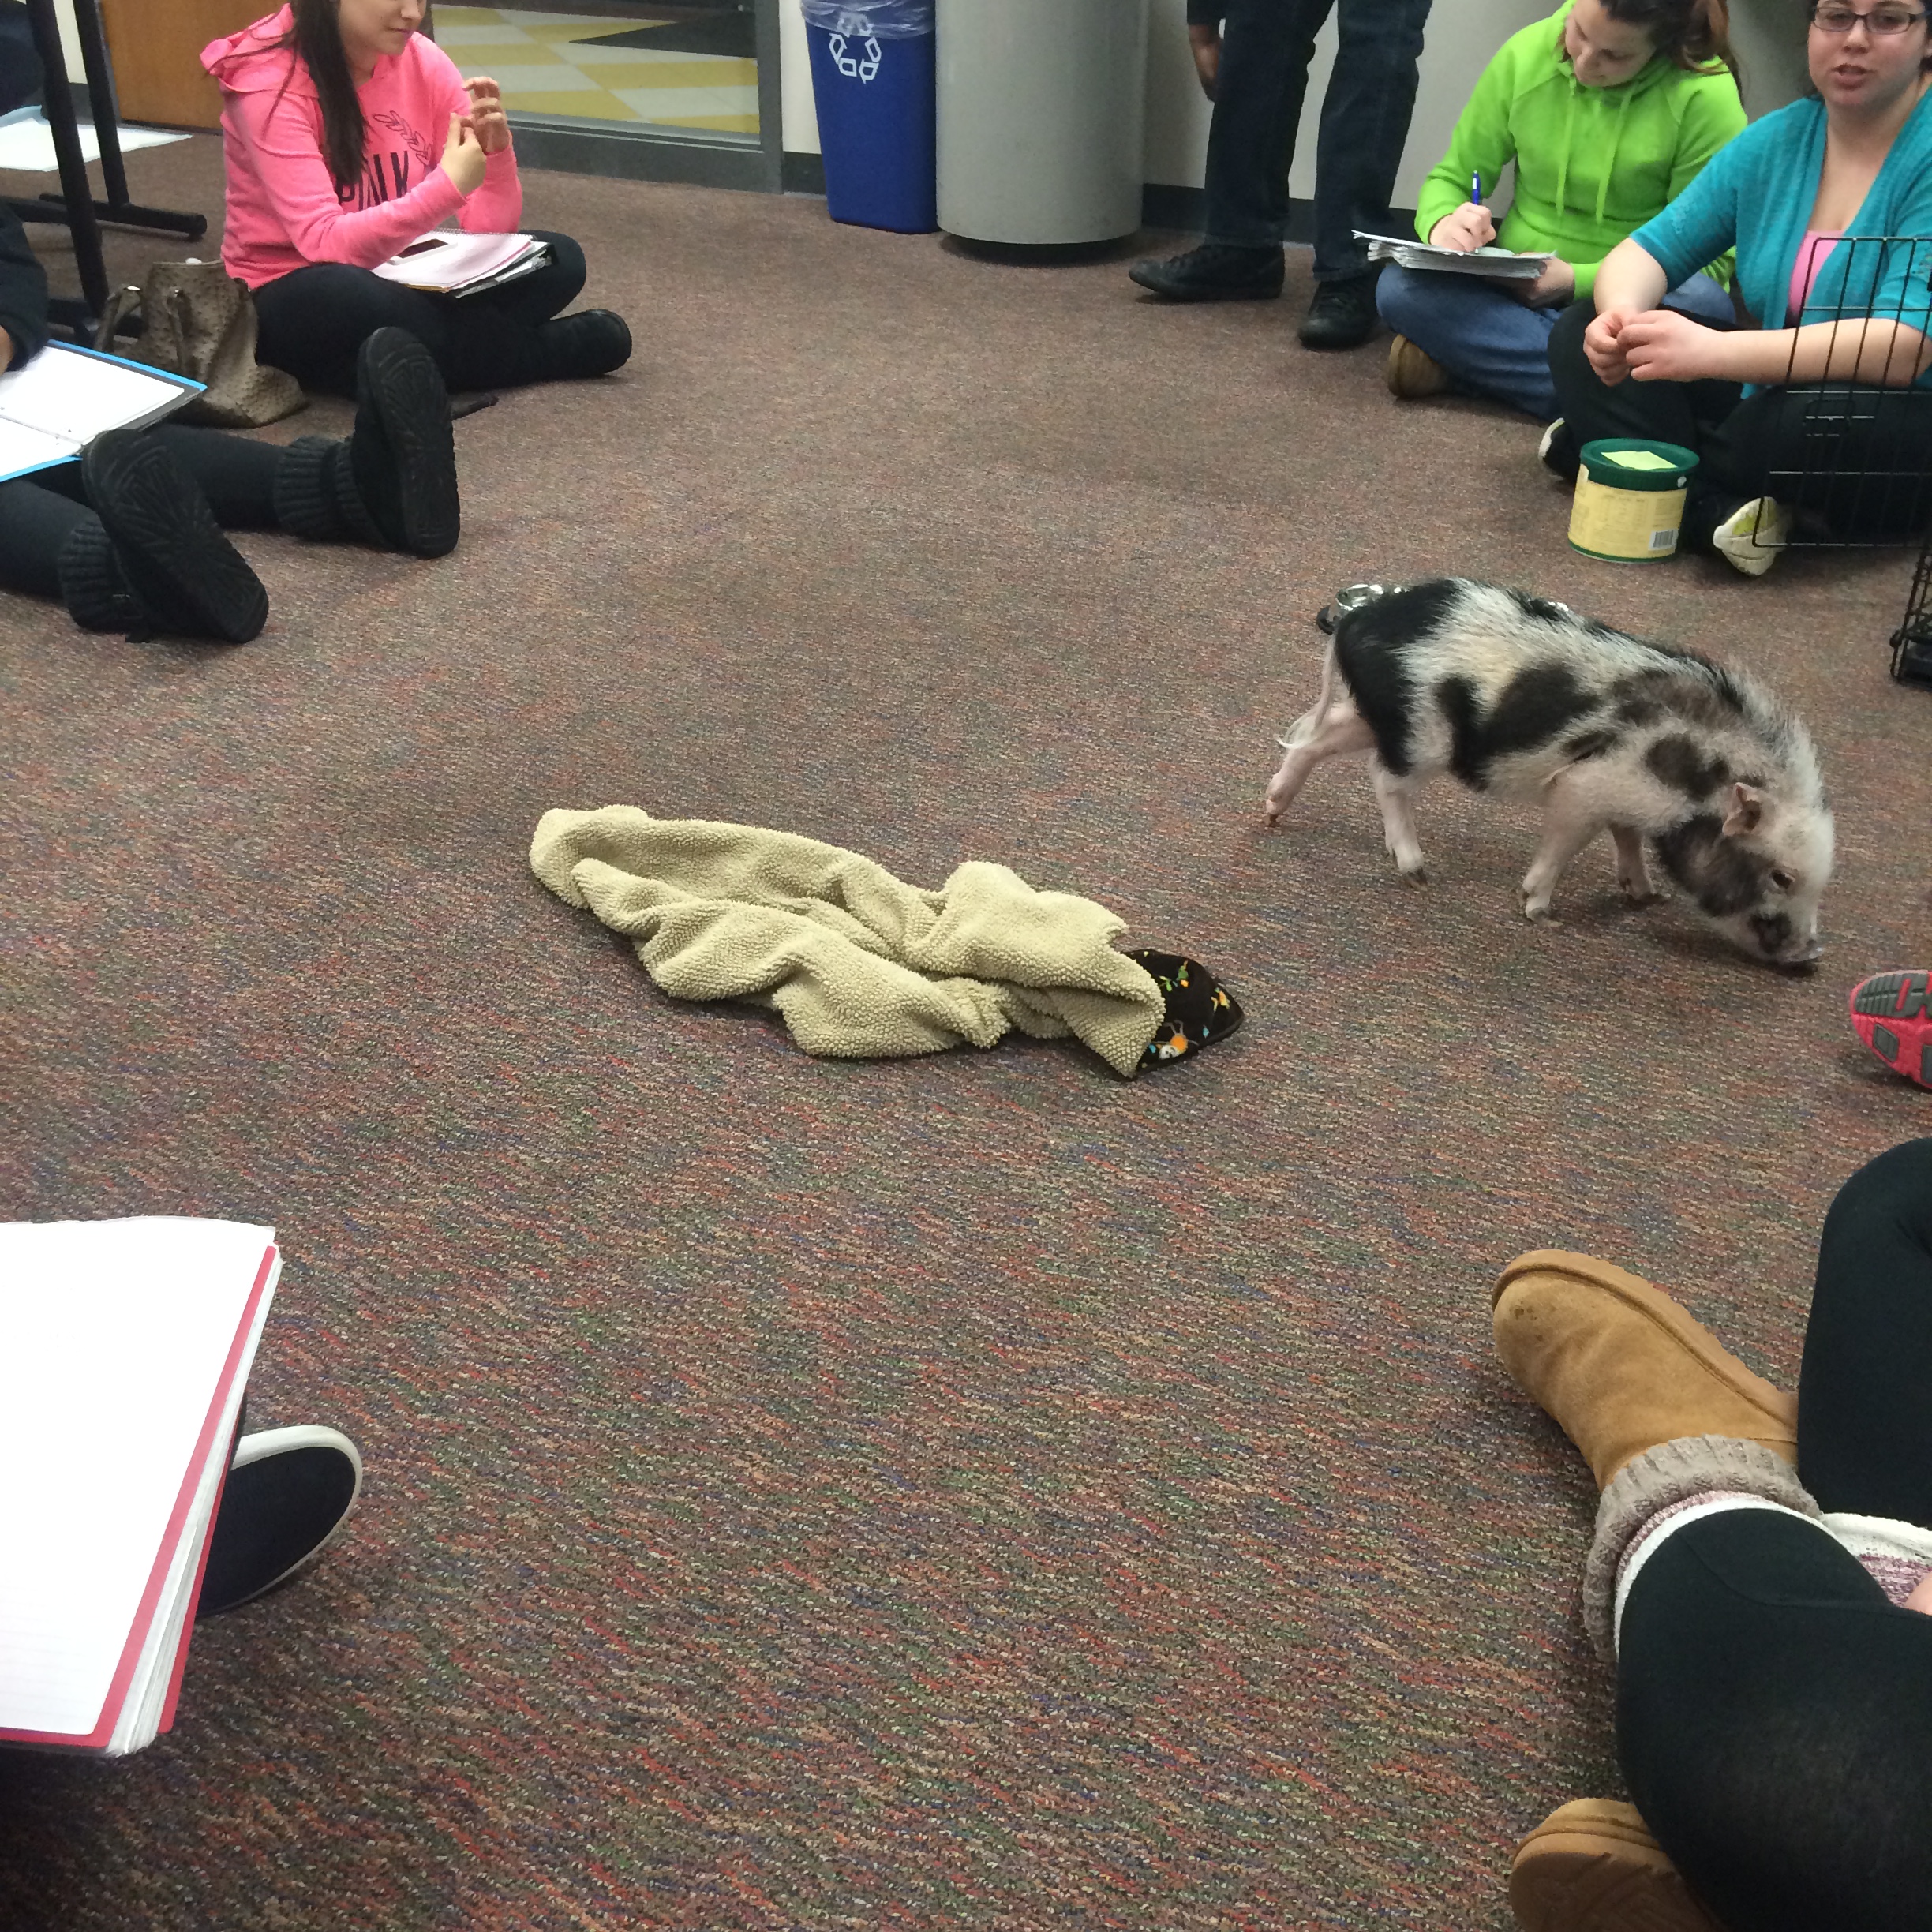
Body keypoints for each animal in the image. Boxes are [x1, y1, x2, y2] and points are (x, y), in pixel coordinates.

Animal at [1262, 578, 1834, 968]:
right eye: (1782, 876)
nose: (1810, 955)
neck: (1701, 778)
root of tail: (1359, 620)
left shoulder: (1626, 796)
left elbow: (1626, 839)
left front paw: (1648, 896)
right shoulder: (1583, 789)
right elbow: (1566, 845)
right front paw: (1541, 914)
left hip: (1378, 716)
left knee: (1316, 737)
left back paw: (1271, 812)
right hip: (1425, 738)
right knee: (1384, 778)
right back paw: (1417, 871)